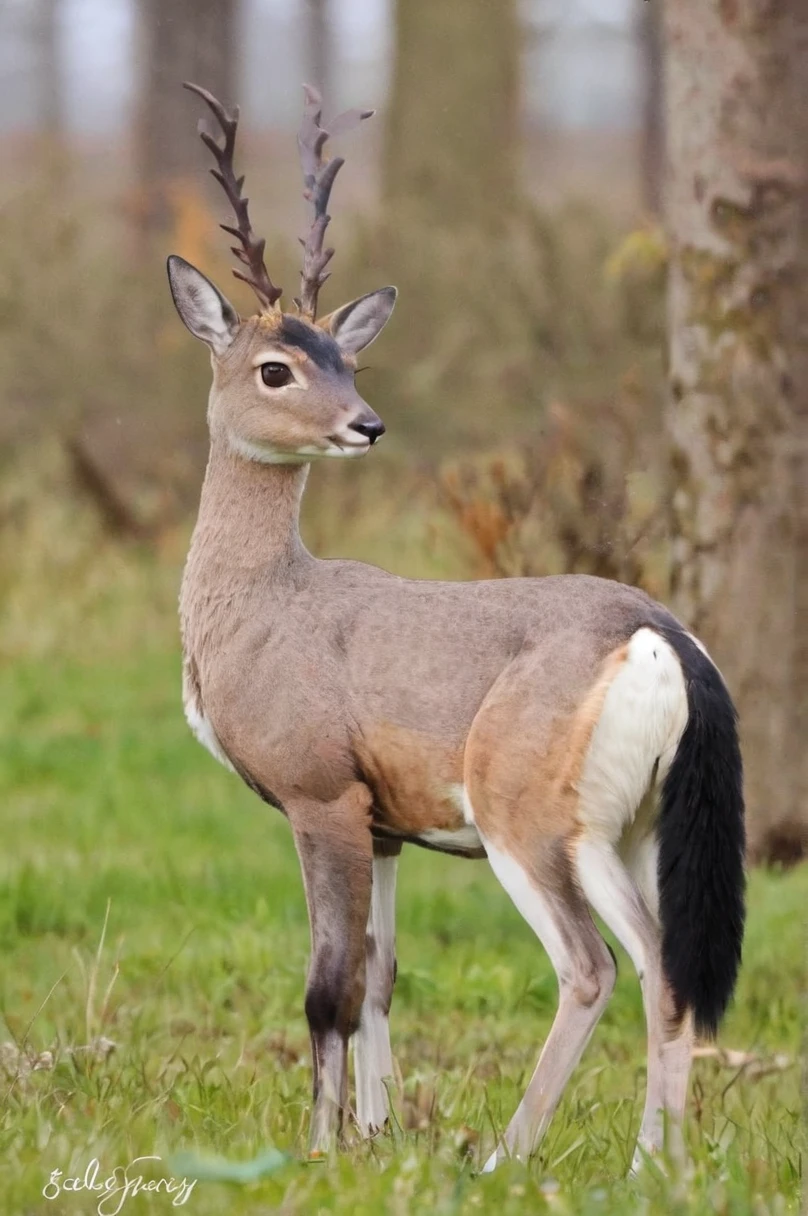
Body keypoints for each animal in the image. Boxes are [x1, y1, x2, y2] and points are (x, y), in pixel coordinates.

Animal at [169, 80, 744, 1172]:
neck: (261, 611)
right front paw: (380, 1131)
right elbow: (382, 975)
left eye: (347, 359)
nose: (366, 423)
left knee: (597, 963)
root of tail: (662, 638)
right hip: (642, 820)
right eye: (277, 367)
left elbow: (327, 984)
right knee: (669, 962)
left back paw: (509, 1157)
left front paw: (320, 1148)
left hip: (526, 804)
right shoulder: (387, 823)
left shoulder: (320, 790)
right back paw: (660, 1166)